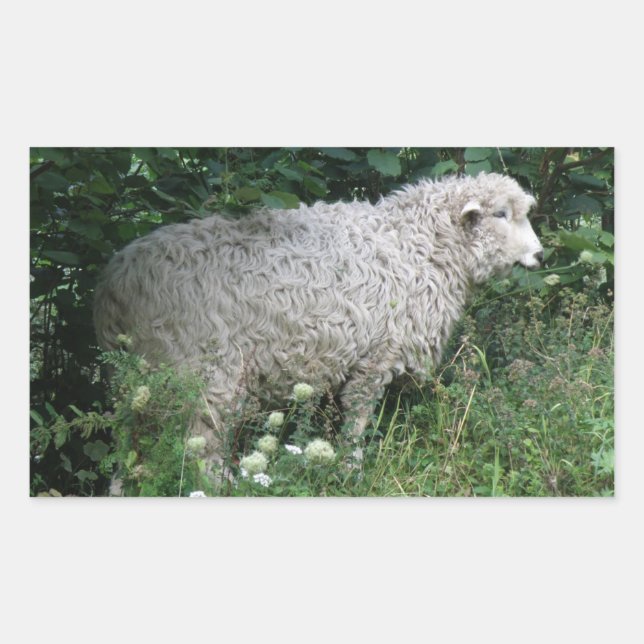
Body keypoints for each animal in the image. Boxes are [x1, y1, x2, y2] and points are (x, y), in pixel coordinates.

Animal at [93, 172, 543, 472]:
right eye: (501, 214)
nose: (540, 255)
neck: (419, 245)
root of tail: (115, 283)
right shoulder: (377, 355)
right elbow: (357, 420)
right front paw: (351, 470)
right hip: (204, 371)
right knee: (201, 447)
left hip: (136, 382)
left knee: (127, 445)